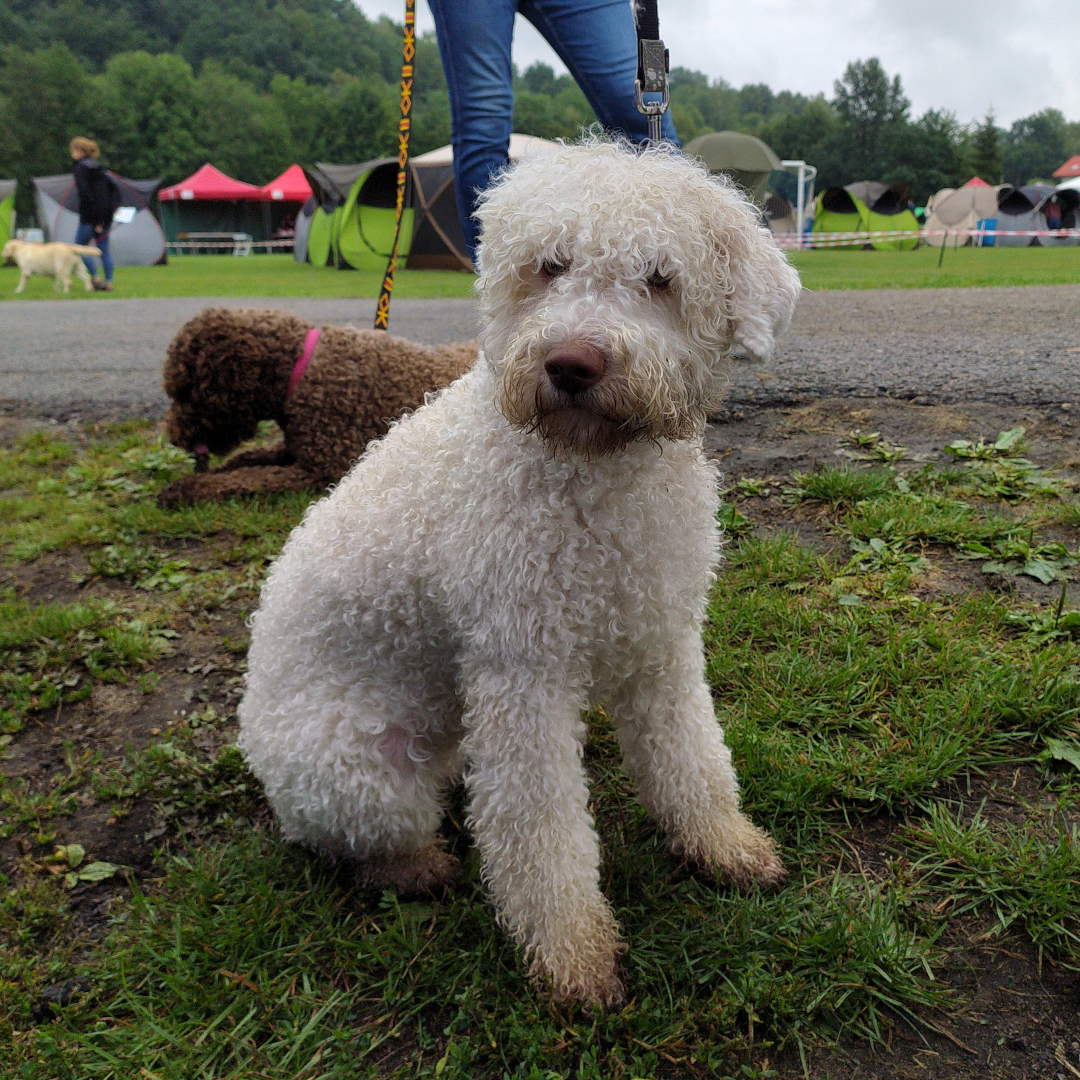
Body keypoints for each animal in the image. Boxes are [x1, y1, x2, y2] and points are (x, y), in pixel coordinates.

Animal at [158, 308, 477, 506]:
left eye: (185, 392)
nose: (173, 438)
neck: (300, 369)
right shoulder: (295, 448)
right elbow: (246, 459)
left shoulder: (319, 471)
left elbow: (247, 478)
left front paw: (186, 488)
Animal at [238, 138, 801, 1007]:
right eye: (549, 266)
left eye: (660, 278)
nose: (571, 363)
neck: (591, 473)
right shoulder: (521, 672)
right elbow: (541, 829)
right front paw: (570, 951)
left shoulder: (661, 644)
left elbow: (691, 757)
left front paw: (723, 844)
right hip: (356, 769)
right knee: (353, 839)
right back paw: (413, 868)